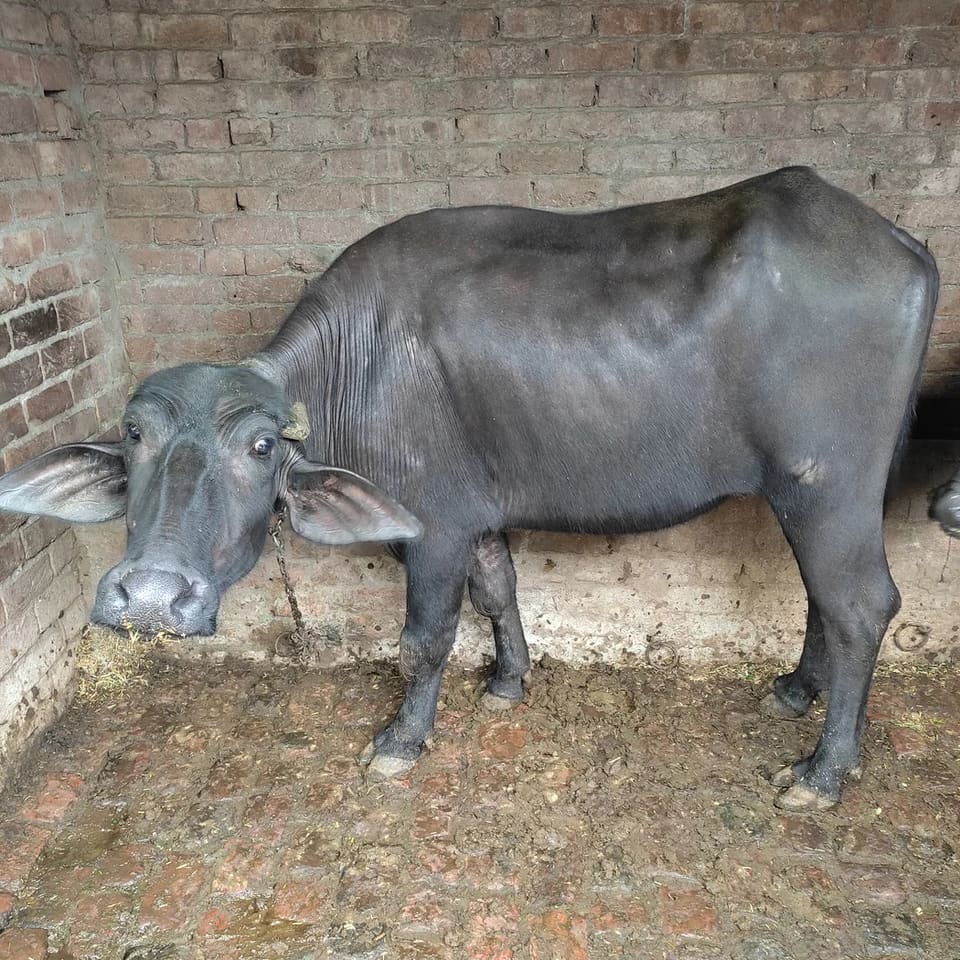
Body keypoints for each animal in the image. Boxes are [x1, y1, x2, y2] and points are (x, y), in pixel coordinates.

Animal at [0, 167, 939, 811]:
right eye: (135, 436)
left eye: (261, 445)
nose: (152, 598)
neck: (359, 362)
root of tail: (898, 242)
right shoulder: (479, 519)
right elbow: (498, 591)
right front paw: (508, 680)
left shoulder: (435, 527)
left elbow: (424, 637)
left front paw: (401, 739)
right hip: (807, 493)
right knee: (822, 596)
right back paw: (796, 691)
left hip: (826, 484)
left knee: (860, 603)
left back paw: (823, 771)